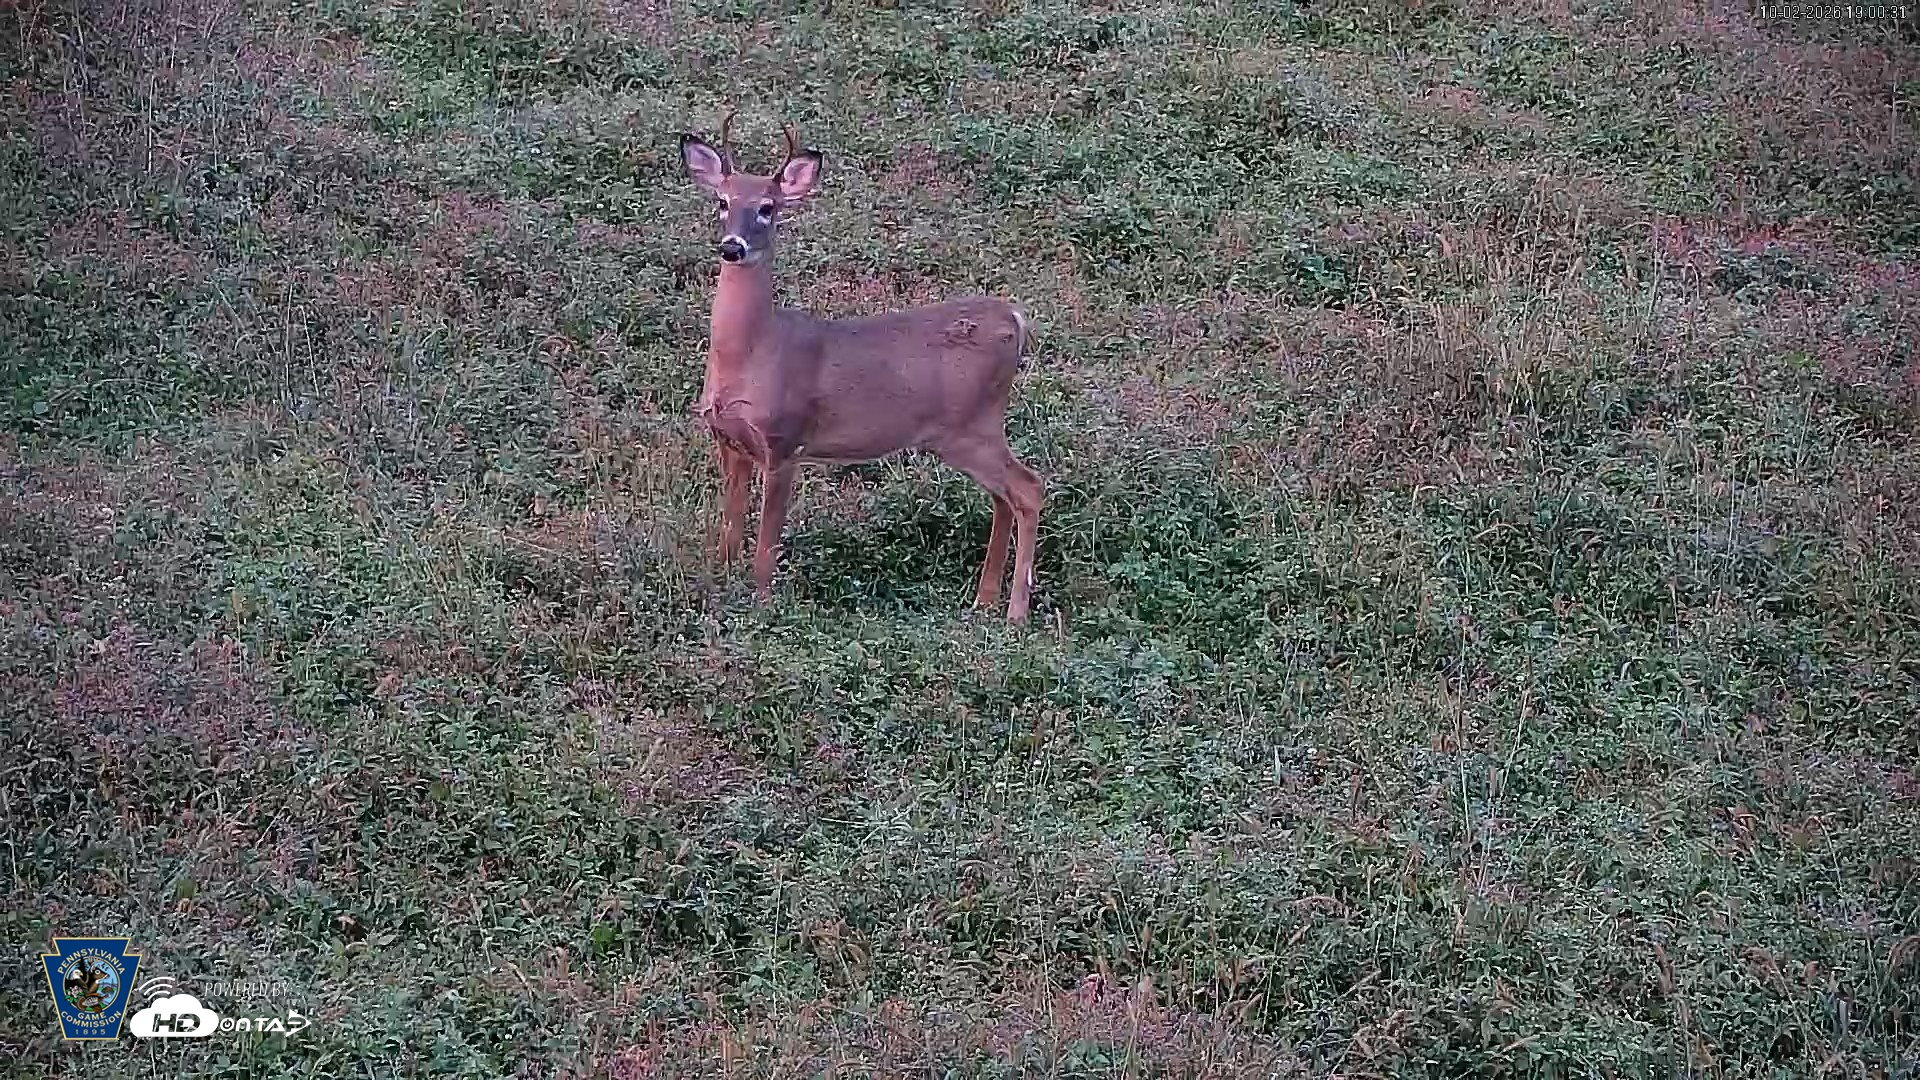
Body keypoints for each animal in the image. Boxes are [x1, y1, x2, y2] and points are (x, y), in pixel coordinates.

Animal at [677, 113, 1044, 623]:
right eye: (722, 201)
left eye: (768, 207)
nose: (732, 247)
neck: (752, 355)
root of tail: (1015, 317)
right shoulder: (729, 442)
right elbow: (730, 530)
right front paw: (722, 591)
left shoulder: (785, 441)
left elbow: (767, 543)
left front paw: (763, 605)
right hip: (969, 433)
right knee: (1004, 496)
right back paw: (983, 601)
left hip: (972, 425)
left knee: (1029, 488)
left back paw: (1015, 613)